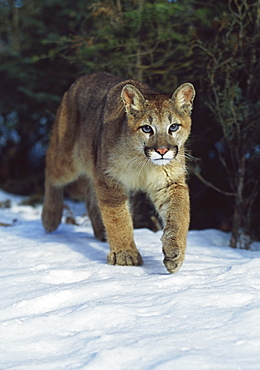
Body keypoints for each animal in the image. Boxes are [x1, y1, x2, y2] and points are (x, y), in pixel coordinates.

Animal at [41, 73, 195, 274]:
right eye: (147, 128)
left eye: (174, 127)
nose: (162, 151)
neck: (144, 162)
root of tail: (83, 78)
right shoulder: (110, 178)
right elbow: (118, 217)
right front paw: (125, 255)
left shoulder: (170, 182)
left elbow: (178, 215)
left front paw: (174, 252)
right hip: (67, 159)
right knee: (51, 172)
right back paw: (50, 217)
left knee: (91, 197)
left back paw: (101, 232)